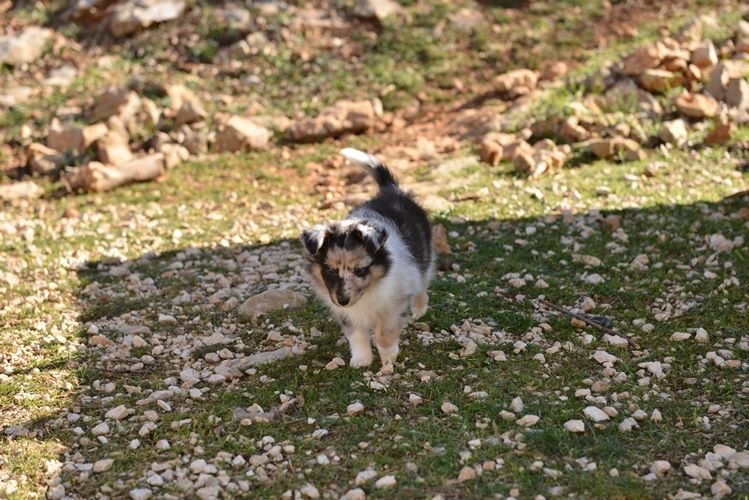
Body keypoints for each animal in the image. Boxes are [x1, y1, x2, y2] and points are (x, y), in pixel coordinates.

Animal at [300, 146, 432, 370]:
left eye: (360, 270)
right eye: (329, 271)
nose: (343, 300)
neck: (369, 292)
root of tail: (391, 191)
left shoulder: (393, 304)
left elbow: (384, 333)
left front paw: (388, 358)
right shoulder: (347, 314)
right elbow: (356, 335)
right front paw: (361, 360)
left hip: (424, 256)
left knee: (422, 283)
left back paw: (418, 309)